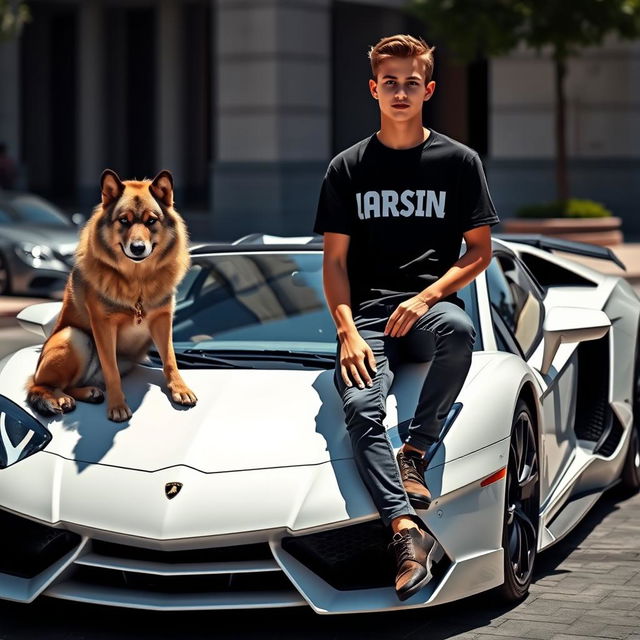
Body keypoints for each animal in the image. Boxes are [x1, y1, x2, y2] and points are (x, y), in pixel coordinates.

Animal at [26, 168, 198, 422]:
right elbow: (111, 370)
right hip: (73, 337)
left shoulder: (162, 319)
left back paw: (88, 392)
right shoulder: (103, 325)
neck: (137, 281)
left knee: (71, 385)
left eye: (151, 220)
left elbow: (170, 360)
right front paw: (117, 405)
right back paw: (59, 398)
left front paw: (180, 389)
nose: (138, 248)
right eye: (124, 220)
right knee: (42, 385)